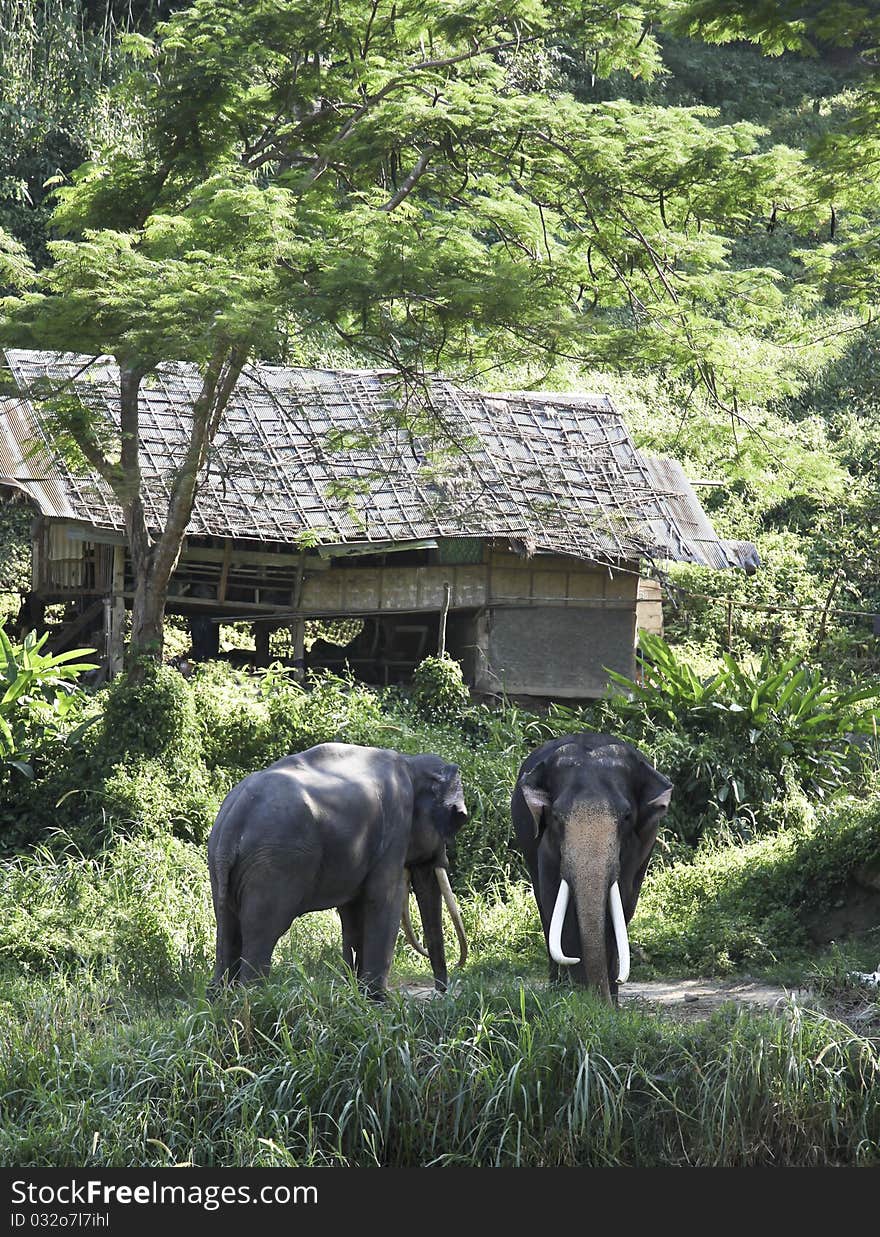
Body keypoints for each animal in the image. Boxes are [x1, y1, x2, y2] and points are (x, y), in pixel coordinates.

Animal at [207, 742, 467, 994]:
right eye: (458, 819)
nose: (442, 991)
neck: (410, 763)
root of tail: (234, 819)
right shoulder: (395, 827)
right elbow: (384, 900)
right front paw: (378, 1000)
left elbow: (352, 911)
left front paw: (356, 994)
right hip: (274, 864)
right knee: (262, 929)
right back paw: (255, 997)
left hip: (223, 866)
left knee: (228, 926)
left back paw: (221, 996)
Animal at [509, 732, 673, 1004]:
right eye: (556, 816)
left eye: (626, 817)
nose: (602, 1001)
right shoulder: (546, 845)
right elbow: (554, 900)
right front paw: (575, 999)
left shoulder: (634, 850)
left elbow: (620, 905)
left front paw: (605, 1004)